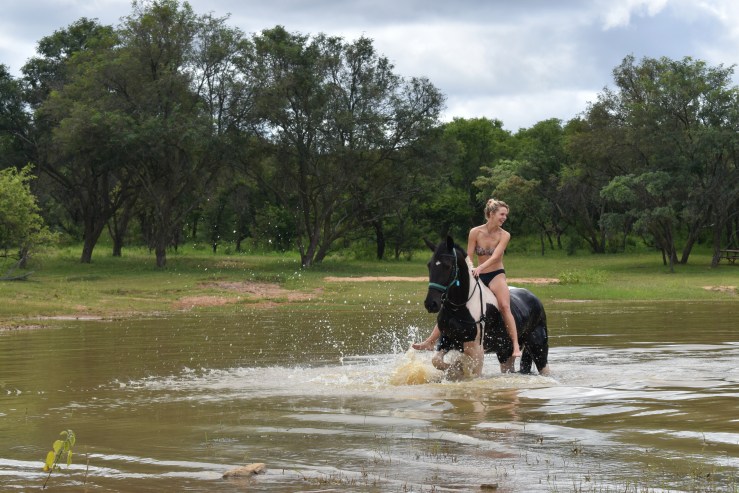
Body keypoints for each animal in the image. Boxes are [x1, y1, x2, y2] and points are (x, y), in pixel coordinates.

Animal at [424, 236, 550, 375]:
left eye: (447, 266)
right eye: (429, 265)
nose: (431, 304)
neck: (461, 307)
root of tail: (535, 298)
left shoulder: (477, 350)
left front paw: (458, 368)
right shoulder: (446, 339)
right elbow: (436, 361)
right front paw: (456, 368)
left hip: (538, 348)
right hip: (505, 352)